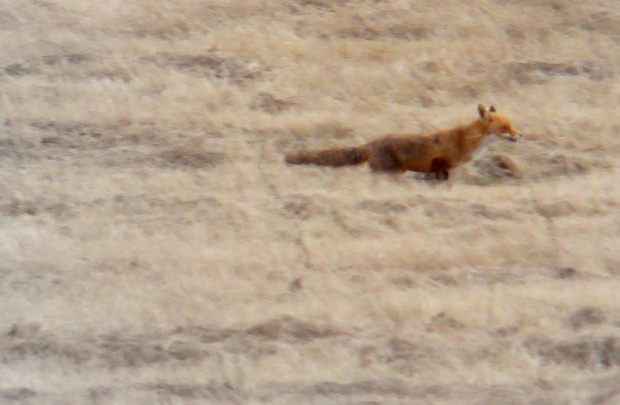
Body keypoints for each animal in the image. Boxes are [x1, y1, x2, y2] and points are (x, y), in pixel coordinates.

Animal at [286, 104, 524, 180]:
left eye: (512, 125)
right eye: (505, 128)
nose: (520, 135)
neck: (465, 142)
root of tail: (373, 142)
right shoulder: (439, 167)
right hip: (391, 174)